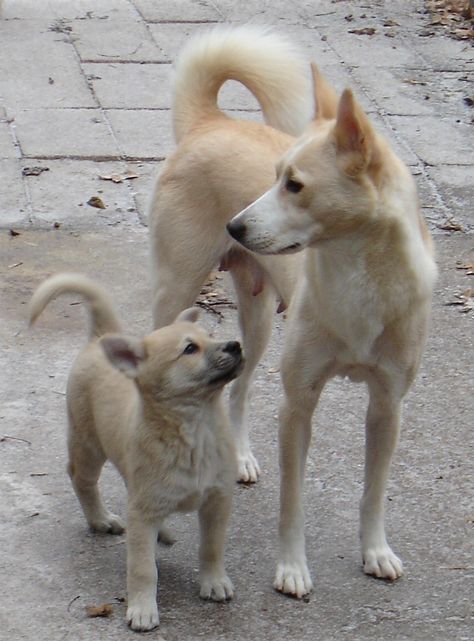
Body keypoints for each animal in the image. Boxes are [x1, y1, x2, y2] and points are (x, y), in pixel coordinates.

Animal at [28, 274, 244, 632]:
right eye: (189, 348)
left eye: (210, 337)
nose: (235, 345)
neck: (196, 429)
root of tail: (100, 337)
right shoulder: (143, 513)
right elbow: (143, 568)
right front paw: (143, 608)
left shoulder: (217, 499)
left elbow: (212, 547)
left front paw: (214, 582)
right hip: (88, 445)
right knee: (81, 479)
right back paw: (100, 519)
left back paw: (162, 531)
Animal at [228, 80, 438, 596]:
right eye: (275, 177)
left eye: (294, 185)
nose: (234, 226)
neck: (361, 276)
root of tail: (212, 122)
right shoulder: (297, 405)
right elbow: (293, 501)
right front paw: (291, 567)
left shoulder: (387, 407)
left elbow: (374, 492)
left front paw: (375, 551)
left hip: (258, 326)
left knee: (239, 390)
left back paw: (240, 458)